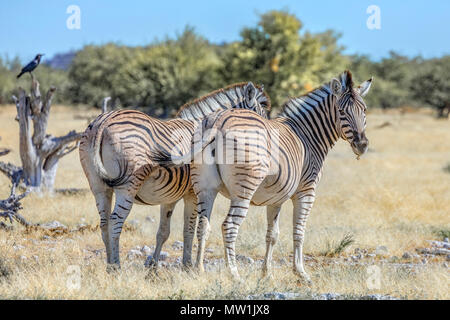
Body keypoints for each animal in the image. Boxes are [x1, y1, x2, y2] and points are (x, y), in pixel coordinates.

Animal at [77, 81, 270, 272]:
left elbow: (163, 232)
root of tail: (104, 120)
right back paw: (116, 267)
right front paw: (188, 266)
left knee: (104, 224)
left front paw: (153, 267)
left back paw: (109, 265)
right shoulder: (192, 193)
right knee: (115, 221)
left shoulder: (169, 197)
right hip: (128, 186)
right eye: (261, 117)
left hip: (98, 187)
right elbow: (189, 229)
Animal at [155, 71, 372, 282]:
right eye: (341, 112)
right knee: (229, 226)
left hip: (205, 188)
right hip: (244, 188)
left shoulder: (276, 198)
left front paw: (266, 273)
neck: (307, 135)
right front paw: (301, 273)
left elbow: (272, 234)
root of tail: (217, 120)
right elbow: (299, 231)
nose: (362, 145)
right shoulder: (306, 191)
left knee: (203, 225)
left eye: (364, 111)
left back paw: (199, 270)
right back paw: (234, 275)